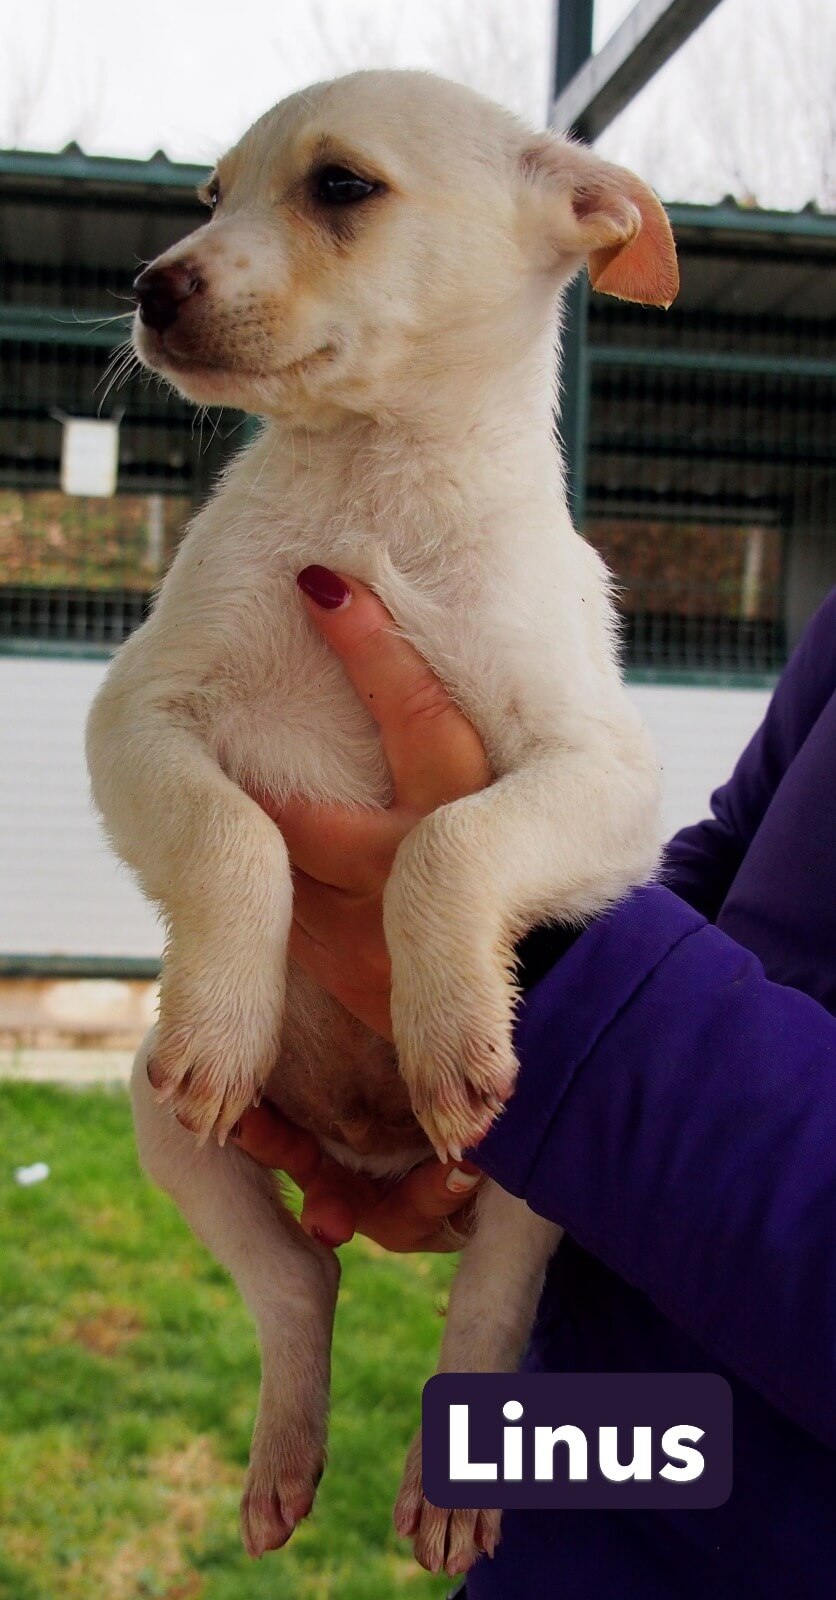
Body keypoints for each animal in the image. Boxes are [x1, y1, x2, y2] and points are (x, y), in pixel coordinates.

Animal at [86, 69, 677, 1577]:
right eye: (210, 195)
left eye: (340, 187)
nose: (150, 286)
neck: (374, 487)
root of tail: (369, 1153)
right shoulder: (140, 719)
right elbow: (235, 841)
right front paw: (230, 1014)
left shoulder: (603, 776)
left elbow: (442, 842)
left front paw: (447, 1020)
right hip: (158, 1117)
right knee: (300, 1281)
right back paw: (285, 1458)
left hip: (538, 1175)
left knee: (481, 1311)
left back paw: (449, 1488)